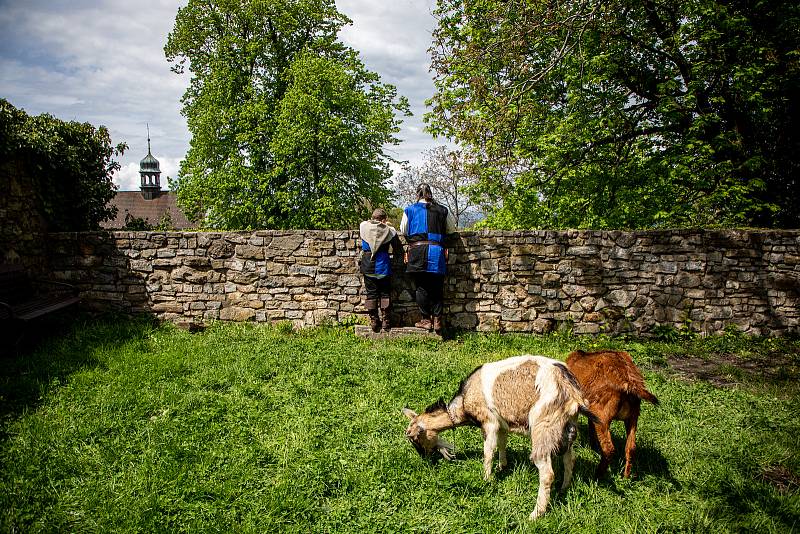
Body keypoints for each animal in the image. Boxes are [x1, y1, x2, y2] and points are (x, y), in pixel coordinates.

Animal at [404, 358, 596, 520]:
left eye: (415, 439)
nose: (425, 459)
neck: (463, 402)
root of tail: (572, 394)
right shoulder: (503, 423)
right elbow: (502, 443)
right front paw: (502, 466)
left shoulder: (489, 422)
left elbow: (488, 451)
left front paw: (487, 479)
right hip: (567, 429)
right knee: (569, 459)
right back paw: (564, 487)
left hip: (543, 428)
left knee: (547, 473)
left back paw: (535, 514)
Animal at [564, 352, 660, 482]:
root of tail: (629, 380)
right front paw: (592, 446)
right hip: (633, 415)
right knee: (631, 447)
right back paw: (625, 478)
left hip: (601, 413)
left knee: (609, 448)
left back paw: (597, 476)